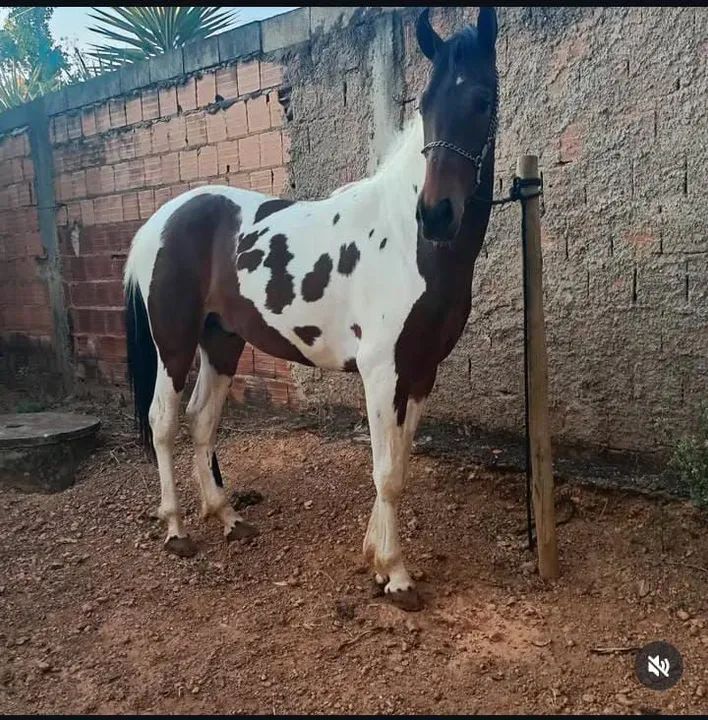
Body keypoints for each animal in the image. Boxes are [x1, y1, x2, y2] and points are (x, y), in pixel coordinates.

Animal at [123, 6, 499, 611]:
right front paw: (396, 575)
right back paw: (177, 530)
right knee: (164, 422)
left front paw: (375, 559)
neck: (410, 242)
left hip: (222, 341)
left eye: (483, 99)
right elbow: (386, 472)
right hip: (173, 343)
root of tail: (162, 219)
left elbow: (400, 463)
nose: (437, 214)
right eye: (425, 104)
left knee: (203, 421)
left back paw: (228, 518)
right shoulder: (381, 371)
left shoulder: (422, 372)